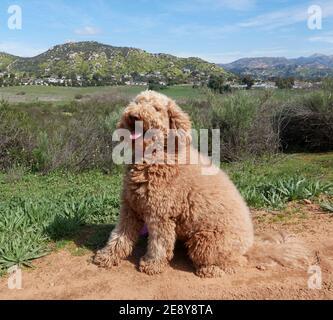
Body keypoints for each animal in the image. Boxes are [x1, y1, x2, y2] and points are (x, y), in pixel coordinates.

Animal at [92, 90, 308, 278]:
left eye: (156, 108)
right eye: (137, 102)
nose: (134, 115)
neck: (155, 156)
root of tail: (251, 245)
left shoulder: (159, 214)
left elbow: (159, 243)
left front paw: (152, 264)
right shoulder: (130, 208)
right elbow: (119, 236)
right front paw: (106, 256)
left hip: (204, 242)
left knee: (237, 262)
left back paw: (209, 270)